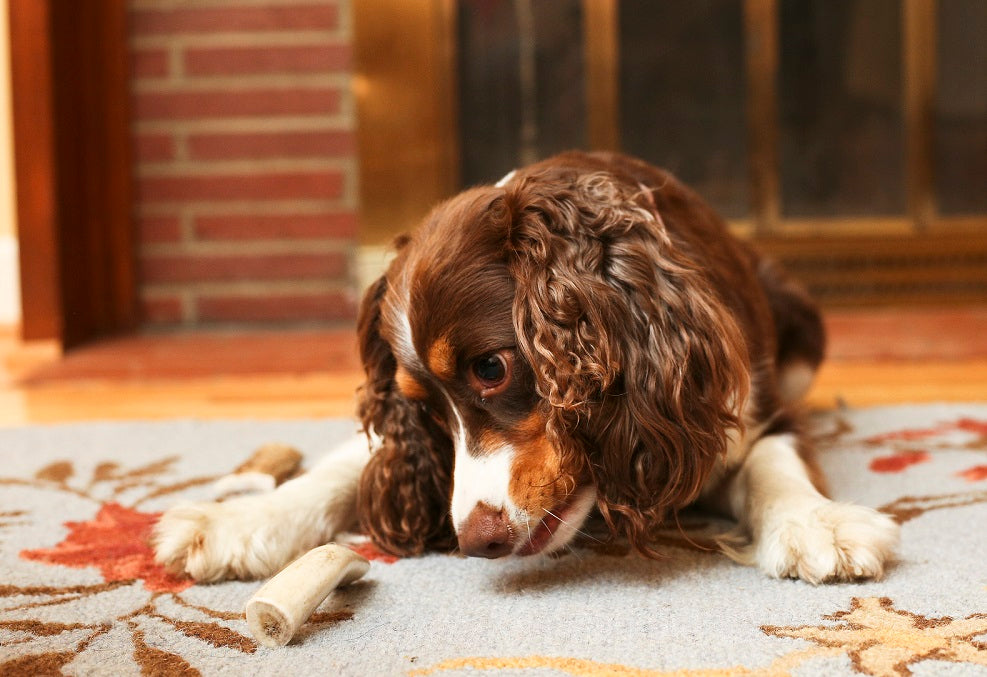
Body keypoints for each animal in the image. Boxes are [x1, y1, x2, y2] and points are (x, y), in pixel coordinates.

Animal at [151, 152, 900, 580]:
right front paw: (238, 521)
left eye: (491, 368)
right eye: (422, 406)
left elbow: (775, 459)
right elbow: (350, 462)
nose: (473, 540)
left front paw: (819, 525)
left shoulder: (748, 399)